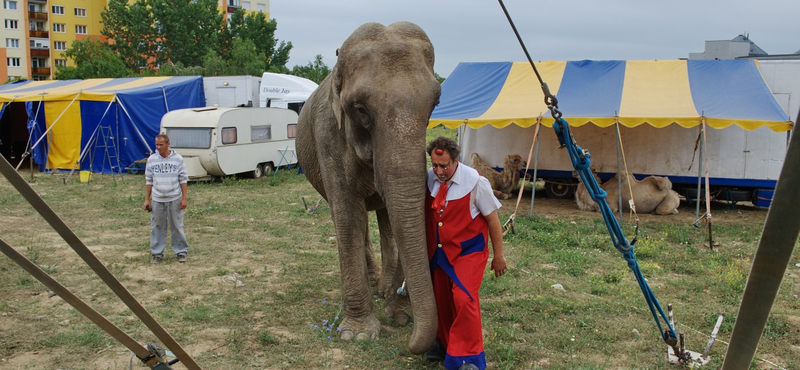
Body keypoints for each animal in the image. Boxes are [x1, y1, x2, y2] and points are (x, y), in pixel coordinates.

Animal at [296, 21, 440, 356]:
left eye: (435, 104)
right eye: (360, 109)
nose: (408, 336)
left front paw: (396, 311)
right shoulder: (327, 136)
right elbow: (348, 215)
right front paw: (359, 334)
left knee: (385, 219)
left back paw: (383, 287)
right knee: (351, 219)